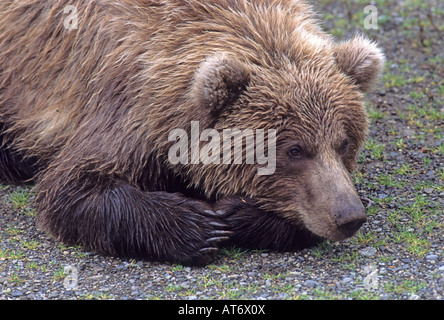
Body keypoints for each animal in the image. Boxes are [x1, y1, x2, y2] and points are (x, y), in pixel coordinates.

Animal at [0, 0, 384, 264]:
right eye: (294, 149)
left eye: (344, 143)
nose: (348, 215)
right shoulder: (126, 102)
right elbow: (73, 187)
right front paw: (199, 226)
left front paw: (236, 214)